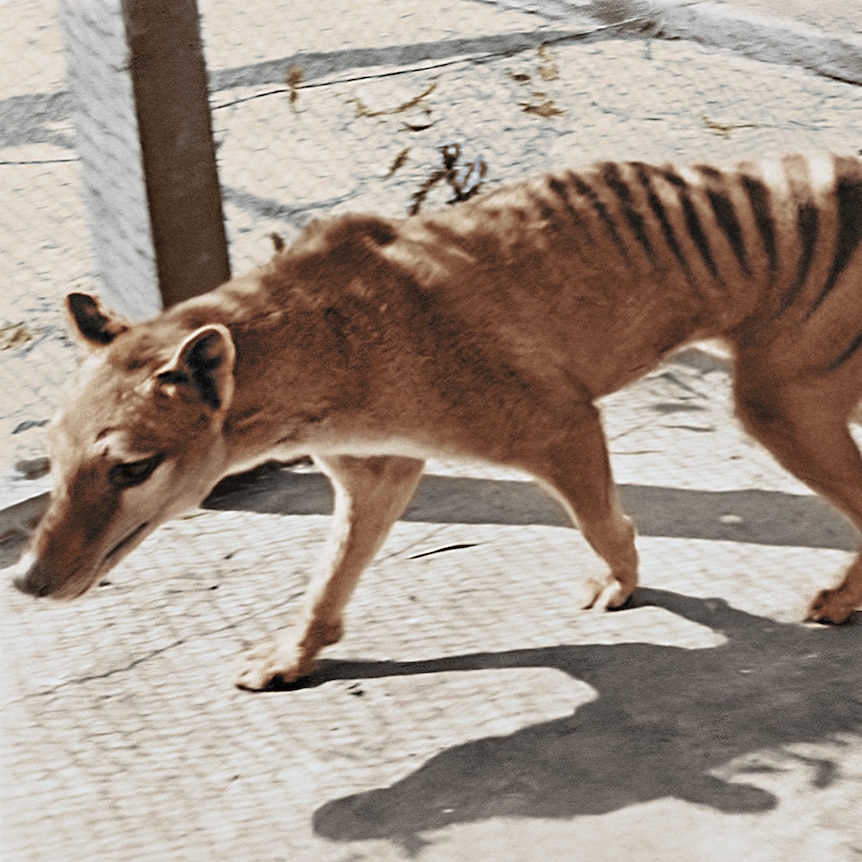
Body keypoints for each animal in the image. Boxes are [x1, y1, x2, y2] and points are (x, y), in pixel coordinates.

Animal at [11, 155, 862, 692]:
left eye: (132, 467)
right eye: (51, 455)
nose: (26, 581)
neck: (331, 336)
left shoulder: (559, 424)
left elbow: (605, 524)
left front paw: (621, 582)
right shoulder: (378, 473)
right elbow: (329, 581)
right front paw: (295, 655)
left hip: (780, 405)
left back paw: (841, 597)